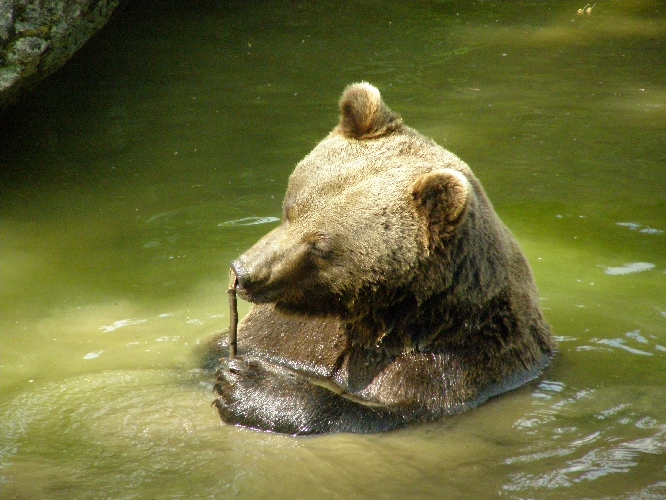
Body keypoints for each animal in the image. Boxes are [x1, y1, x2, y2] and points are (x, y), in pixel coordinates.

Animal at [214, 81, 556, 434]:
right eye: (291, 209)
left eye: (320, 246)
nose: (244, 272)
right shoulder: (291, 335)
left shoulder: (455, 364)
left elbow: (379, 414)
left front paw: (248, 383)